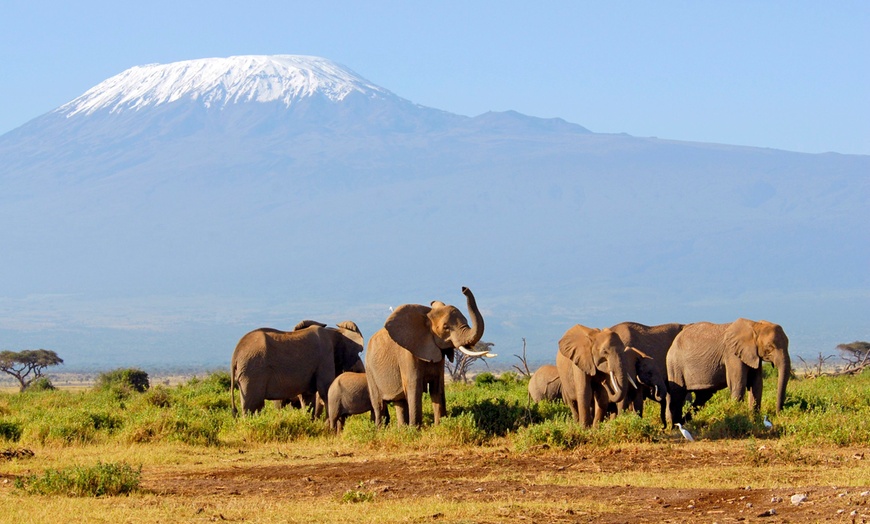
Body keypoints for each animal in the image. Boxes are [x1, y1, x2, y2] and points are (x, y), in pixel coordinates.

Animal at [230, 318, 366, 416]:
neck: (333, 332)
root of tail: (235, 355)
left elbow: (308, 397)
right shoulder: (325, 357)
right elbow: (325, 389)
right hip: (253, 371)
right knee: (252, 405)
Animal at [366, 288, 494, 428]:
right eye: (446, 327)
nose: (464, 288)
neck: (427, 316)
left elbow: (437, 388)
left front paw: (439, 426)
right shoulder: (408, 353)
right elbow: (414, 389)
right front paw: (415, 430)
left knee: (399, 402)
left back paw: (401, 429)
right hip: (369, 371)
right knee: (378, 404)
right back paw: (380, 429)